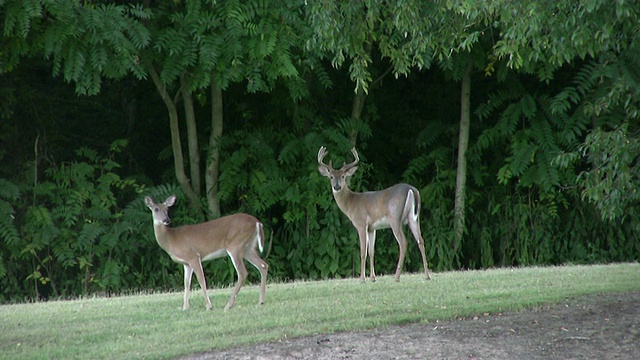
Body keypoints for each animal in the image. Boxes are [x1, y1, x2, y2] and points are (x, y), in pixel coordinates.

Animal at [316, 146, 430, 282]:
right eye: (331, 177)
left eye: (343, 176)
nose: (337, 187)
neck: (351, 203)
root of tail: (412, 190)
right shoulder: (372, 228)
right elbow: (371, 251)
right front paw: (372, 278)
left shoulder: (361, 224)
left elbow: (363, 251)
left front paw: (362, 279)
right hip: (414, 218)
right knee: (420, 240)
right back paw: (427, 275)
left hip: (394, 217)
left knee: (403, 242)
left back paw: (396, 277)